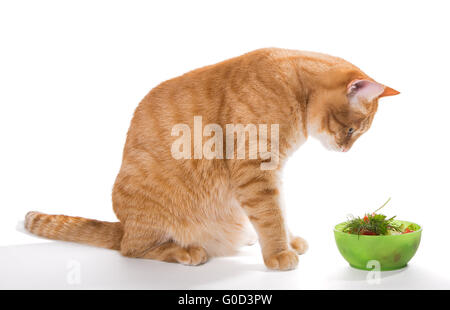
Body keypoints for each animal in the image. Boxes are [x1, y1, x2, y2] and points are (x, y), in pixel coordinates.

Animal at [24, 47, 400, 268]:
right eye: (351, 130)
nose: (345, 150)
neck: (293, 87)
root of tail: (123, 225)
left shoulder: (271, 172)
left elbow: (279, 211)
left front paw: (287, 239)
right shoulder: (254, 169)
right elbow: (271, 215)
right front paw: (279, 252)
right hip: (150, 222)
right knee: (131, 249)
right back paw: (186, 250)